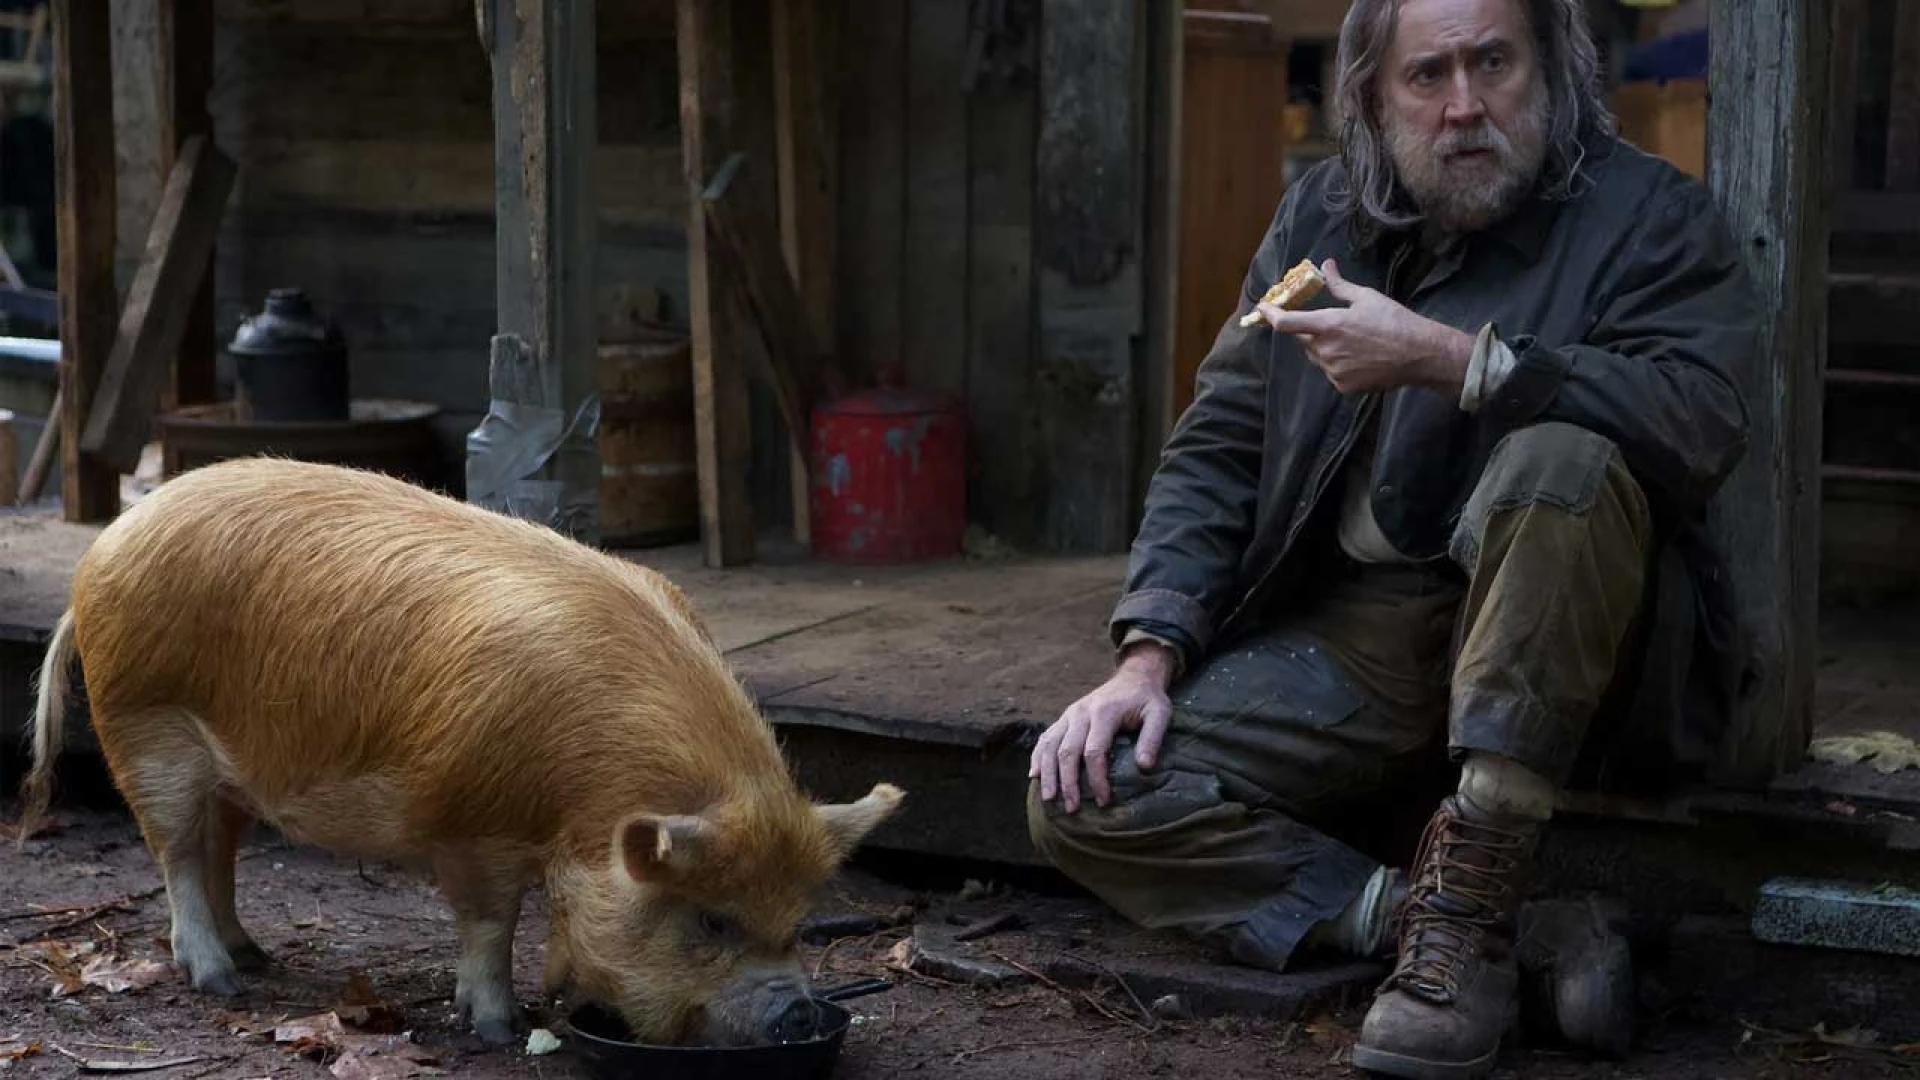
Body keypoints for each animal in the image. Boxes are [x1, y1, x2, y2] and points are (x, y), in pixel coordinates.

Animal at [17, 456, 905, 1048]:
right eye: (713, 919)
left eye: (798, 923)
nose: (796, 1010)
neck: (584, 794)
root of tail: (105, 548)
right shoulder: (472, 823)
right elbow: (490, 920)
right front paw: (499, 1029)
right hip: (145, 726)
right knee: (175, 852)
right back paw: (220, 980)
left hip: (228, 766)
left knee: (220, 847)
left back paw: (255, 955)